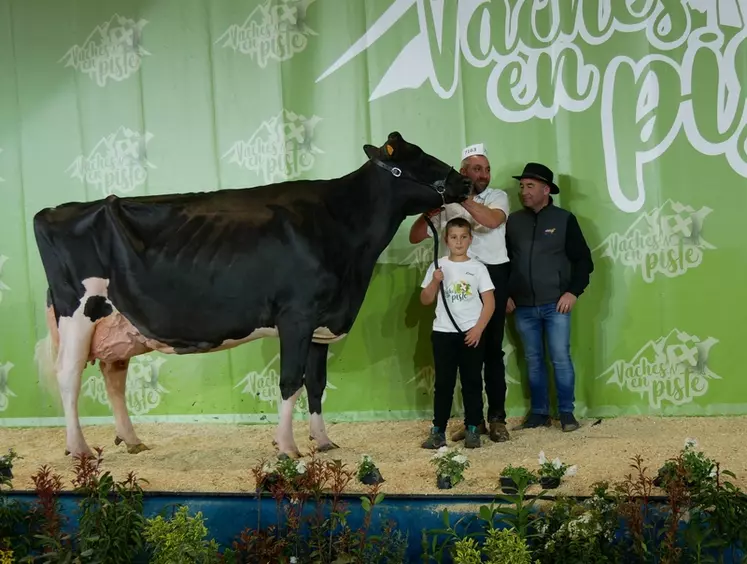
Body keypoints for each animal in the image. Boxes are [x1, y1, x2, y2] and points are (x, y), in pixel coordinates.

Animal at [35, 132, 470, 458]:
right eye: (418, 157)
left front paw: (323, 441)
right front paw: (288, 448)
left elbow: (316, 384)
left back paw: (132, 440)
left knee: (114, 376)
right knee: (69, 375)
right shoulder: (296, 315)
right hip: (78, 313)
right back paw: (80, 449)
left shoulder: (320, 323)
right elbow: (290, 381)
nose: (466, 182)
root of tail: (53, 210)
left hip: (116, 322)